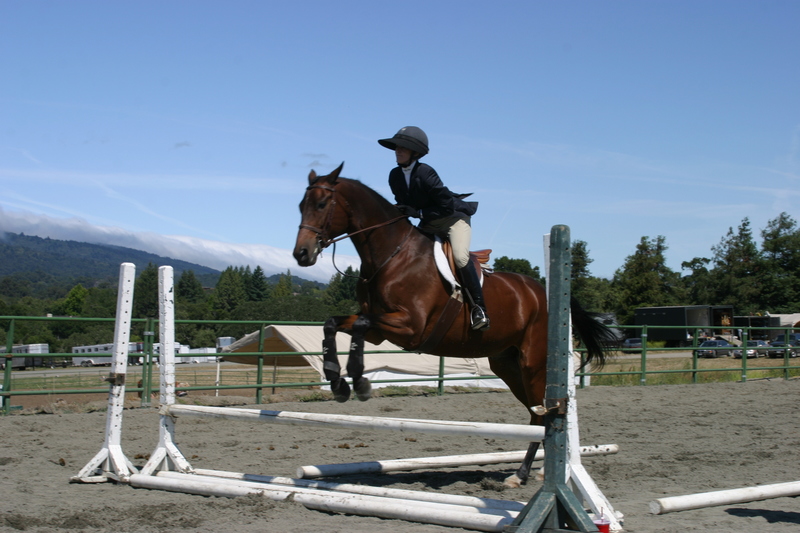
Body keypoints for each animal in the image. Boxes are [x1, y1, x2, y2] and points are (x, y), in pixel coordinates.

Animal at [292, 162, 613, 488]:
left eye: (322, 204)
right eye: (301, 206)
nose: (301, 254)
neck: (391, 255)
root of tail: (544, 292)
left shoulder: (410, 328)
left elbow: (359, 326)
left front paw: (358, 382)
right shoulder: (378, 333)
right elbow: (333, 324)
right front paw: (337, 381)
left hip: (533, 364)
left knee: (544, 412)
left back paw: (528, 474)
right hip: (507, 365)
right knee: (537, 414)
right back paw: (533, 472)